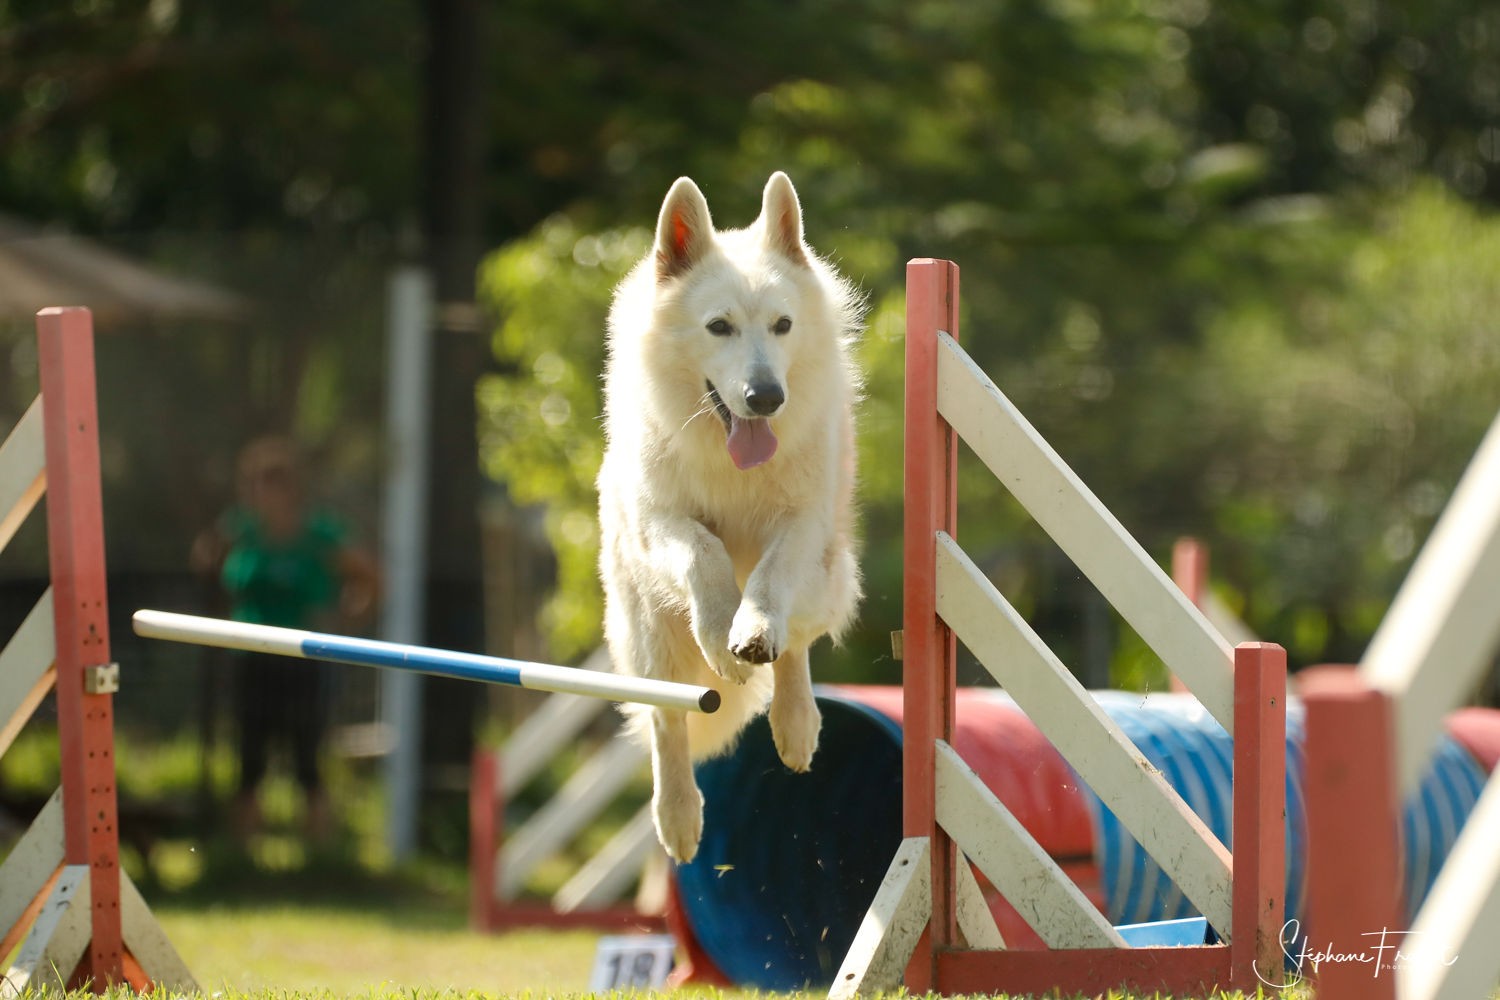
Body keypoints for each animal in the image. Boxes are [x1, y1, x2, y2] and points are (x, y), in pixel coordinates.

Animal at [594, 172, 864, 863]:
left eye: (782, 325)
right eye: (719, 327)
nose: (766, 397)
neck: (729, 456)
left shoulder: (800, 525)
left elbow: (768, 582)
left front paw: (750, 632)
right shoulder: (662, 521)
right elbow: (704, 554)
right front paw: (721, 636)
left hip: (829, 574)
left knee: (797, 645)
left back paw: (795, 723)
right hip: (649, 631)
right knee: (665, 716)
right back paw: (678, 814)